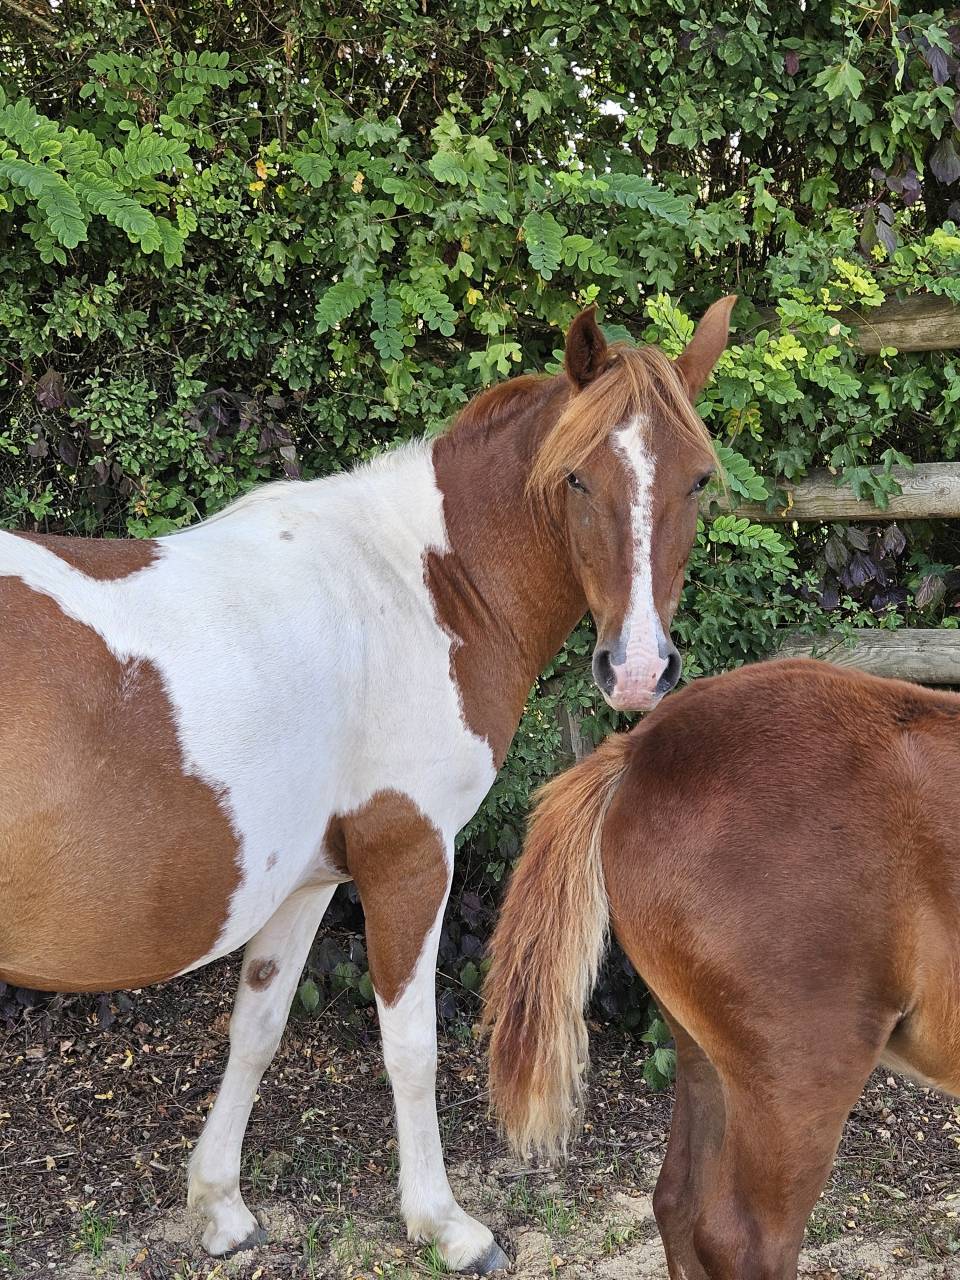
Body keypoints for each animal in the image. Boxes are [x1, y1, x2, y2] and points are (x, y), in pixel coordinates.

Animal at [0, 298, 732, 1269]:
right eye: (577, 478)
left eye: (696, 480)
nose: (640, 669)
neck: (424, 589)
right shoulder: (408, 857)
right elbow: (411, 1048)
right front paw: (446, 1224)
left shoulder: (309, 877)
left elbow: (258, 1028)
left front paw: (220, 1206)